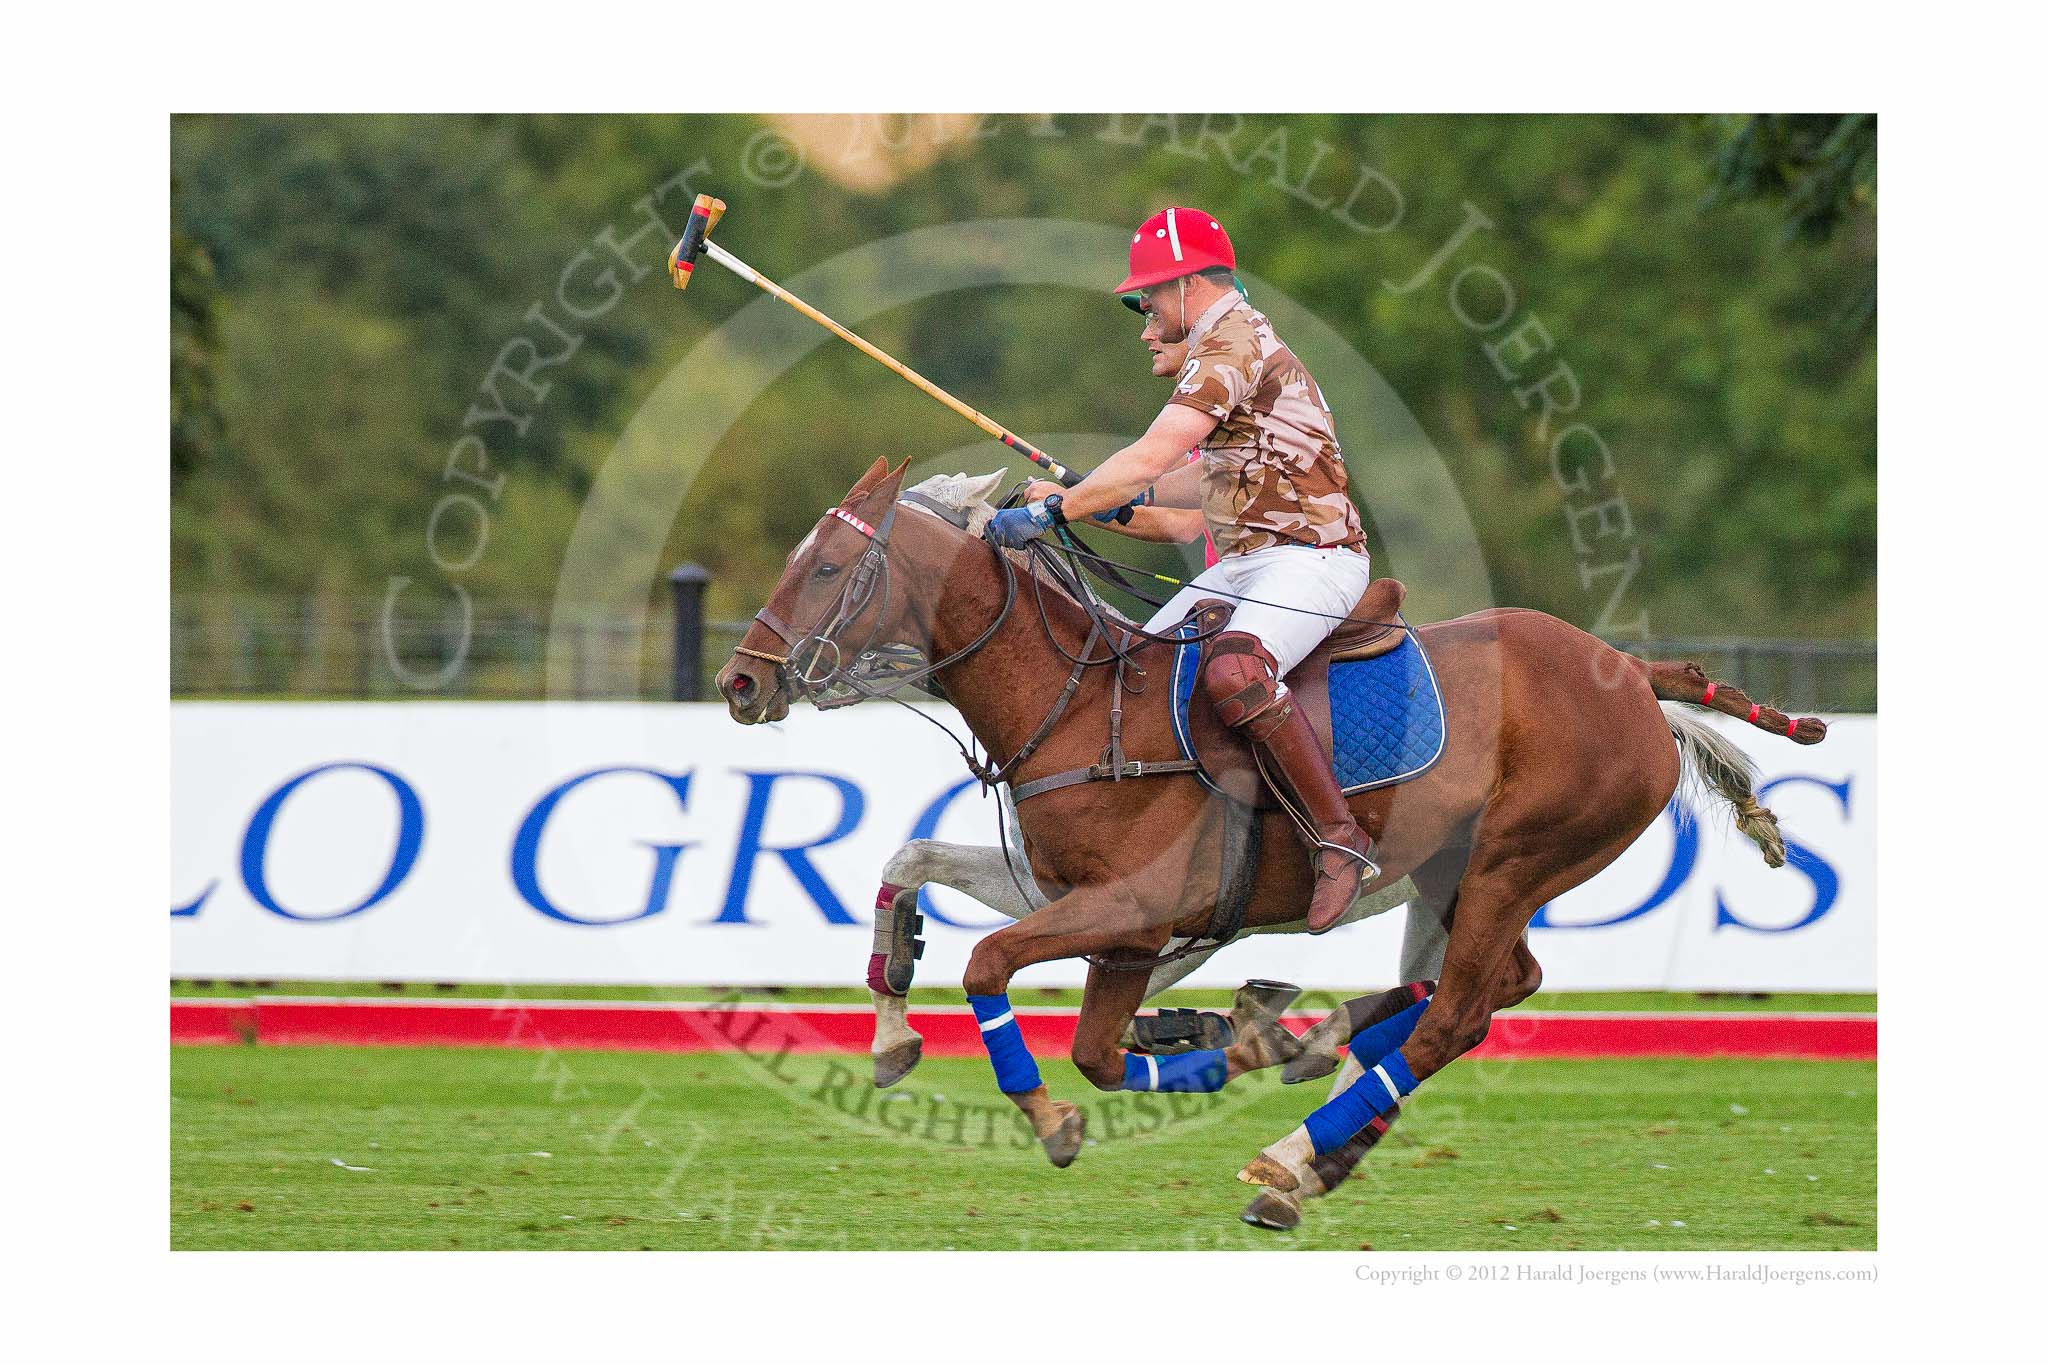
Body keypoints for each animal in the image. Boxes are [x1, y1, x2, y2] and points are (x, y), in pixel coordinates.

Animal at [720, 464, 1826, 1211]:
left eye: (826, 565)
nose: (741, 681)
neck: (1077, 705)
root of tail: (1634, 673)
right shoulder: (1086, 906)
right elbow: (924, 881)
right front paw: (895, 1036)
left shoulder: (1136, 909)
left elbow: (999, 972)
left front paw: (1055, 1116)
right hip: (1457, 872)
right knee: (1490, 987)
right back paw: (1316, 1075)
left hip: (1516, 860)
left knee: (1456, 1014)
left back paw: (1293, 1151)